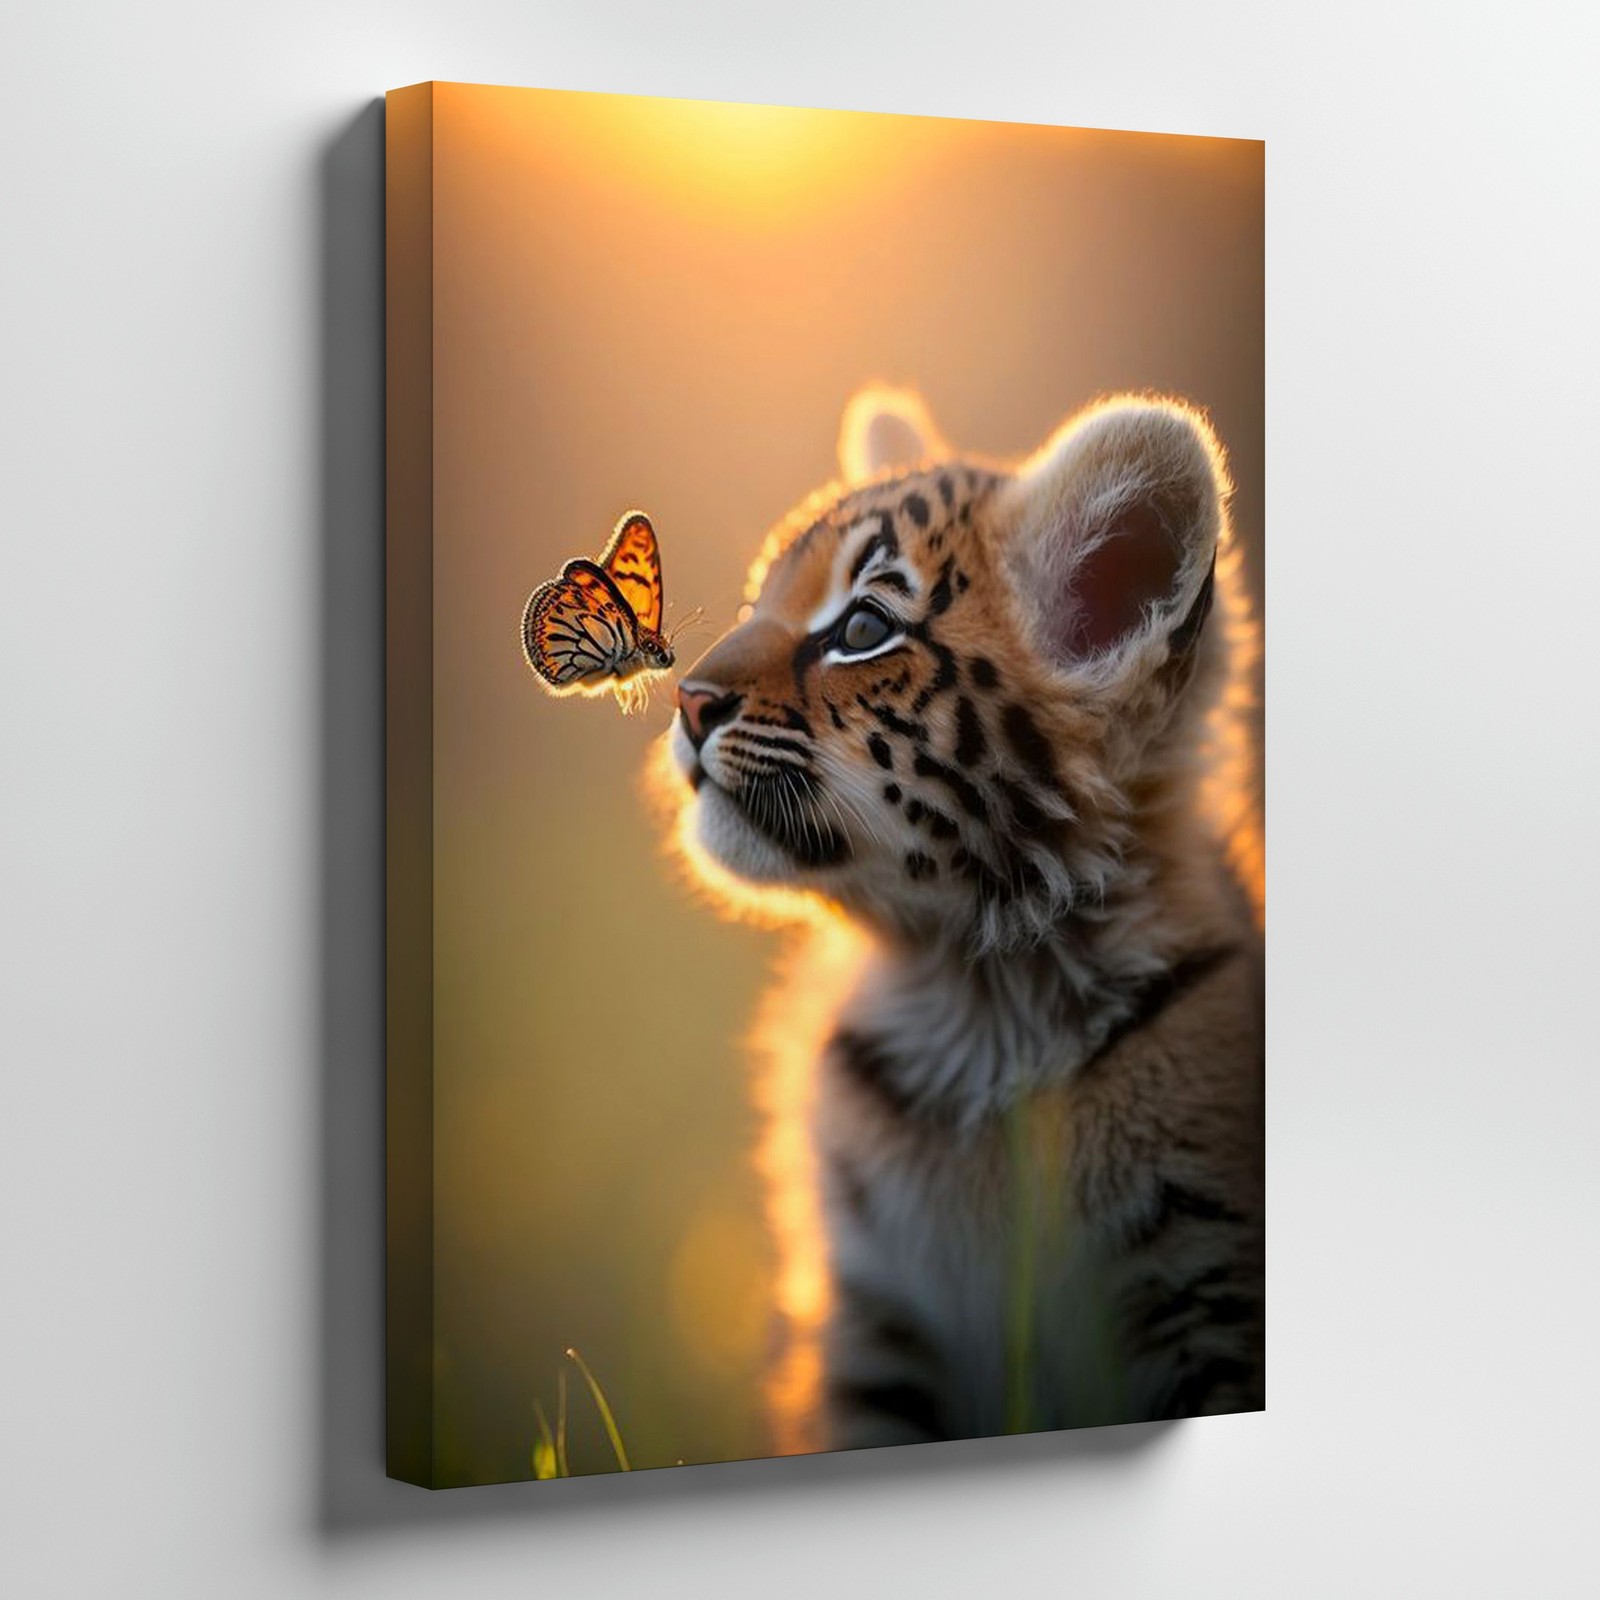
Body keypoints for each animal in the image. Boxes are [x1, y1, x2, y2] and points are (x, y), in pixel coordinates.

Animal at [658, 386, 1263, 1453]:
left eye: (862, 627)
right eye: (758, 599)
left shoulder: (1211, 1294)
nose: (687, 700)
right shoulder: (876, 1322)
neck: (979, 990)